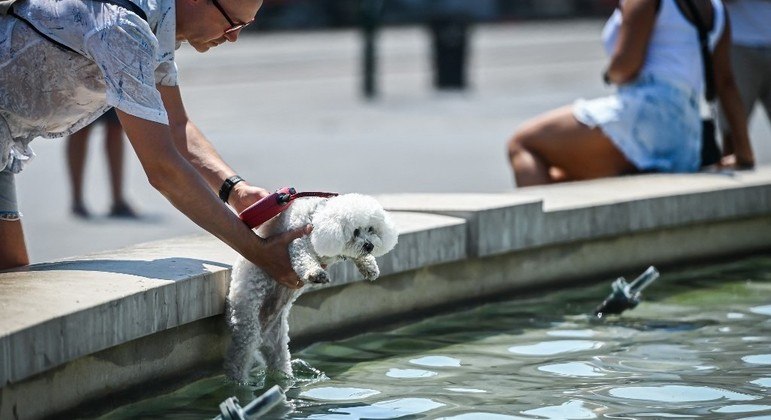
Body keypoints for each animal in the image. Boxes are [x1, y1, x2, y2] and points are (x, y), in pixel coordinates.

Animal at [223, 194, 398, 384]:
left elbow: (356, 256)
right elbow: (303, 257)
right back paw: (239, 383)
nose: (369, 246)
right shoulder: (297, 241)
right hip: (247, 321)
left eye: (371, 229)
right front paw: (315, 273)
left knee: (278, 360)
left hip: (277, 342)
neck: (316, 217)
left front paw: (370, 267)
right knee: (238, 358)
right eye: (356, 231)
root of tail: (263, 331)